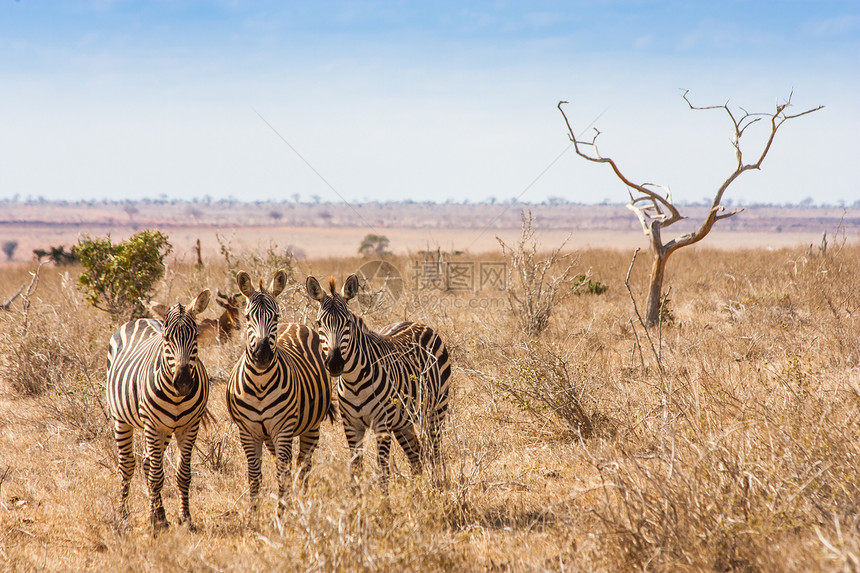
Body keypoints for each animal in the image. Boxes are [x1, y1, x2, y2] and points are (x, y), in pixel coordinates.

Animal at [105, 290, 212, 532]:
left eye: (195, 337)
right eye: (166, 339)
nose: (183, 382)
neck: (177, 396)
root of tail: (141, 318)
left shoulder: (189, 426)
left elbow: (183, 475)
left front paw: (185, 518)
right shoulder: (153, 425)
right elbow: (157, 476)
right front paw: (157, 521)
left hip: (164, 429)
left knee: (147, 462)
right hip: (123, 420)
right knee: (128, 465)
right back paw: (123, 514)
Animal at [225, 270, 332, 516]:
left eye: (275, 316)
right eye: (248, 317)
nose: (262, 354)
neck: (260, 384)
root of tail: (294, 324)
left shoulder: (283, 428)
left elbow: (283, 473)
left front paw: (282, 514)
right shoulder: (248, 432)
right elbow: (254, 476)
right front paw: (253, 516)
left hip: (310, 426)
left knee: (303, 464)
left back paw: (301, 500)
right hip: (269, 435)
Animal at [304, 274, 450, 490]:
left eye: (348, 322)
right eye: (319, 323)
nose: (335, 363)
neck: (354, 382)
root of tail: (417, 324)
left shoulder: (382, 424)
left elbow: (382, 470)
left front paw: (385, 500)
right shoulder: (351, 425)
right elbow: (356, 468)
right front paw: (356, 498)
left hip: (434, 411)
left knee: (434, 452)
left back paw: (437, 487)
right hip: (402, 421)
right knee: (415, 454)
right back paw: (416, 492)